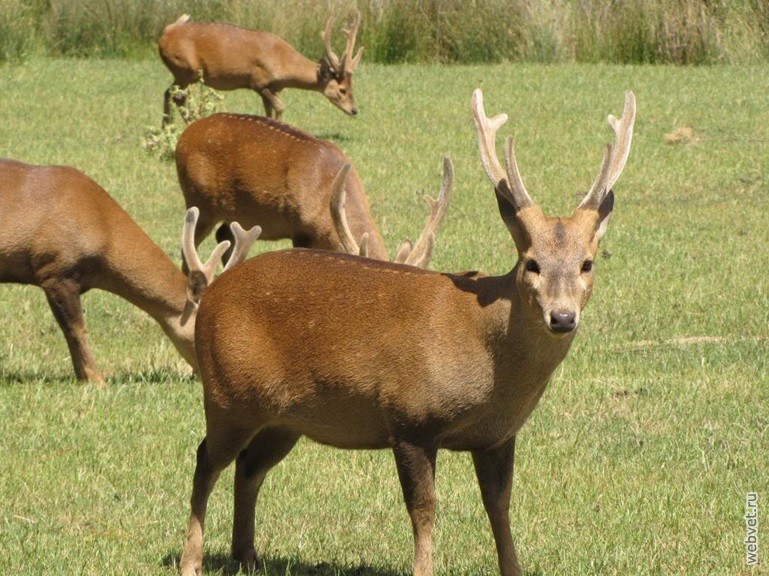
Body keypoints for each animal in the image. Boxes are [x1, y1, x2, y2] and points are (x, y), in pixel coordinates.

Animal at [158, 11, 364, 126]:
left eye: (353, 87)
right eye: (342, 90)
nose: (355, 110)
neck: (283, 62)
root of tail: (166, 33)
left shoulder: (273, 87)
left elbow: (269, 111)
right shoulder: (259, 82)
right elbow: (280, 107)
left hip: (183, 73)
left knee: (169, 93)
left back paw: (168, 127)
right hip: (186, 69)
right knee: (176, 96)